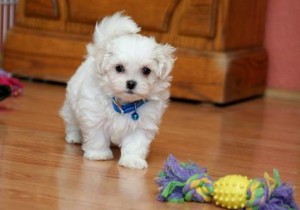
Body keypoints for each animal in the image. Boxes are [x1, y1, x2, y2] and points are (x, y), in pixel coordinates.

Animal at [59, 12, 175, 169]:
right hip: (71, 104)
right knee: (71, 121)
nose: (131, 83)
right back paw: (74, 136)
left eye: (146, 70)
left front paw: (132, 160)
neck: (124, 104)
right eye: (119, 68)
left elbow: (135, 144)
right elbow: (97, 137)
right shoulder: (94, 116)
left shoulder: (142, 125)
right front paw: (99, 154)